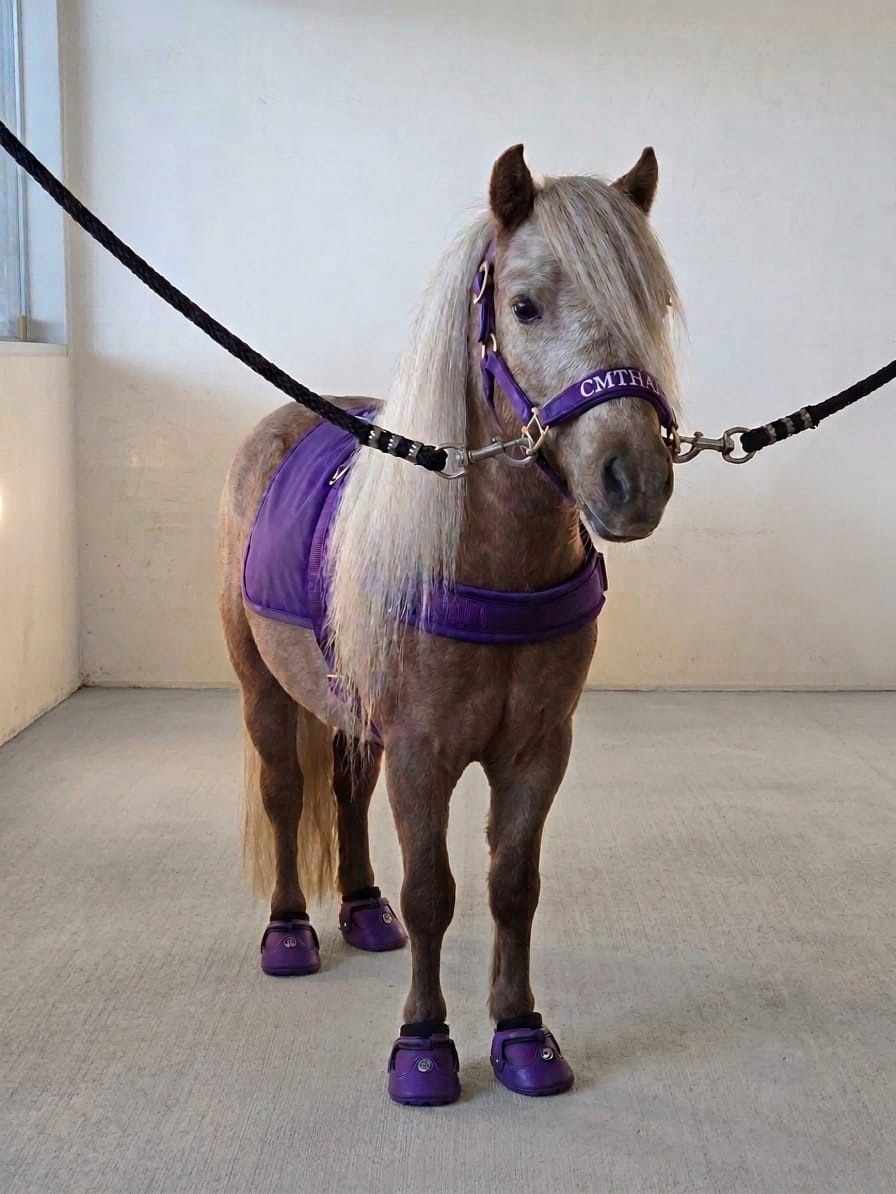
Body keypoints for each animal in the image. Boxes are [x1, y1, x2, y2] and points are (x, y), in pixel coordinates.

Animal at [218, 143, 682, 1105]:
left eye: (651, 302)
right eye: (524, 305)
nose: (633, 480)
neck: (488, 560)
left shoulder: (537, 748)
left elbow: (513, 886)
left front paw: (521, 1033)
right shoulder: (424, 753)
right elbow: (434, 890)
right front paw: (424, 1046)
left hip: (355, 714)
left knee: (345, 792)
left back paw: (363, 911)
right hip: (263, 690)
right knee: (286, 794)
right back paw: (291, 930)